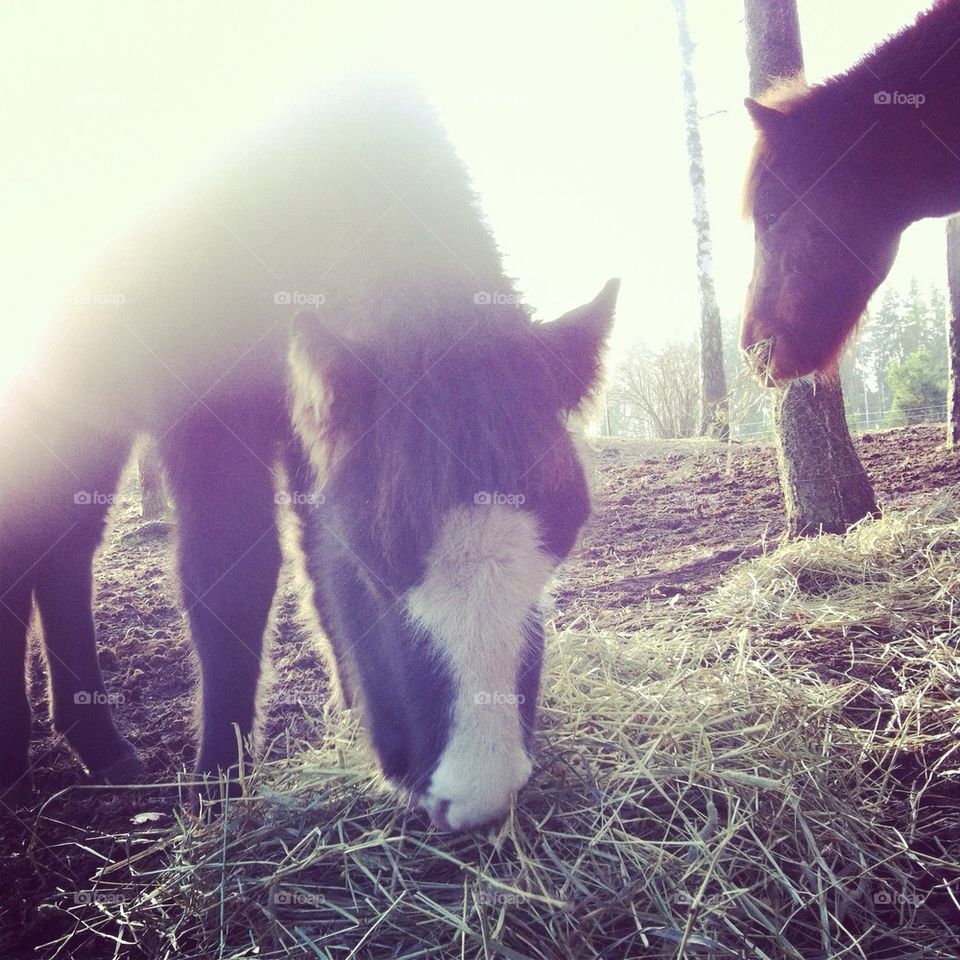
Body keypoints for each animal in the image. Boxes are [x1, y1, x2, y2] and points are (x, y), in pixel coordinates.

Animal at [0, 78, 619, 831]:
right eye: (376, 565)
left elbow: (311, 557)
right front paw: (219, 782)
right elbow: (230, 577)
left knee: (63, 550)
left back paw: (98, 744)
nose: (478, 795)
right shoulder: (204, 416)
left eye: (559, 549)